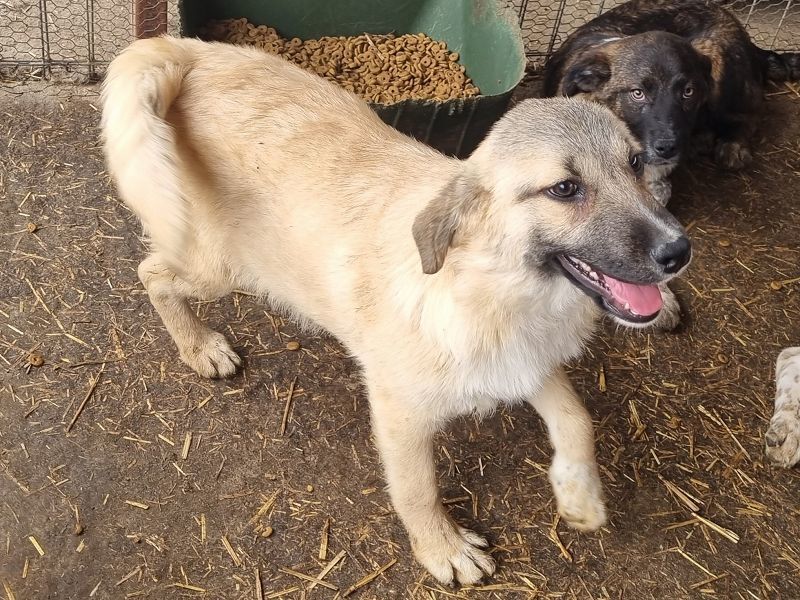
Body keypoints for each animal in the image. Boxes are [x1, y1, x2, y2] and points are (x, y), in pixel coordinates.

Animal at [101, 36, 691, 585]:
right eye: (565, 188)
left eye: (635, 163)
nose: (678, 252)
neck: (496, 290)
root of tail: (191, 51)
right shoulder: (400, 412)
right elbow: (417, 489)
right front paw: (442, 548)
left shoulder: (523, 364)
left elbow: (576, 419)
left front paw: (579, 496)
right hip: (219, 265)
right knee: (150, 273)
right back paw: (200, 346)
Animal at [543, 0, 800, 205]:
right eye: (637, 93)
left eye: (688, 91)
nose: (668, 148)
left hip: (717, 57)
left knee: (752, 112)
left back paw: (733, 145)